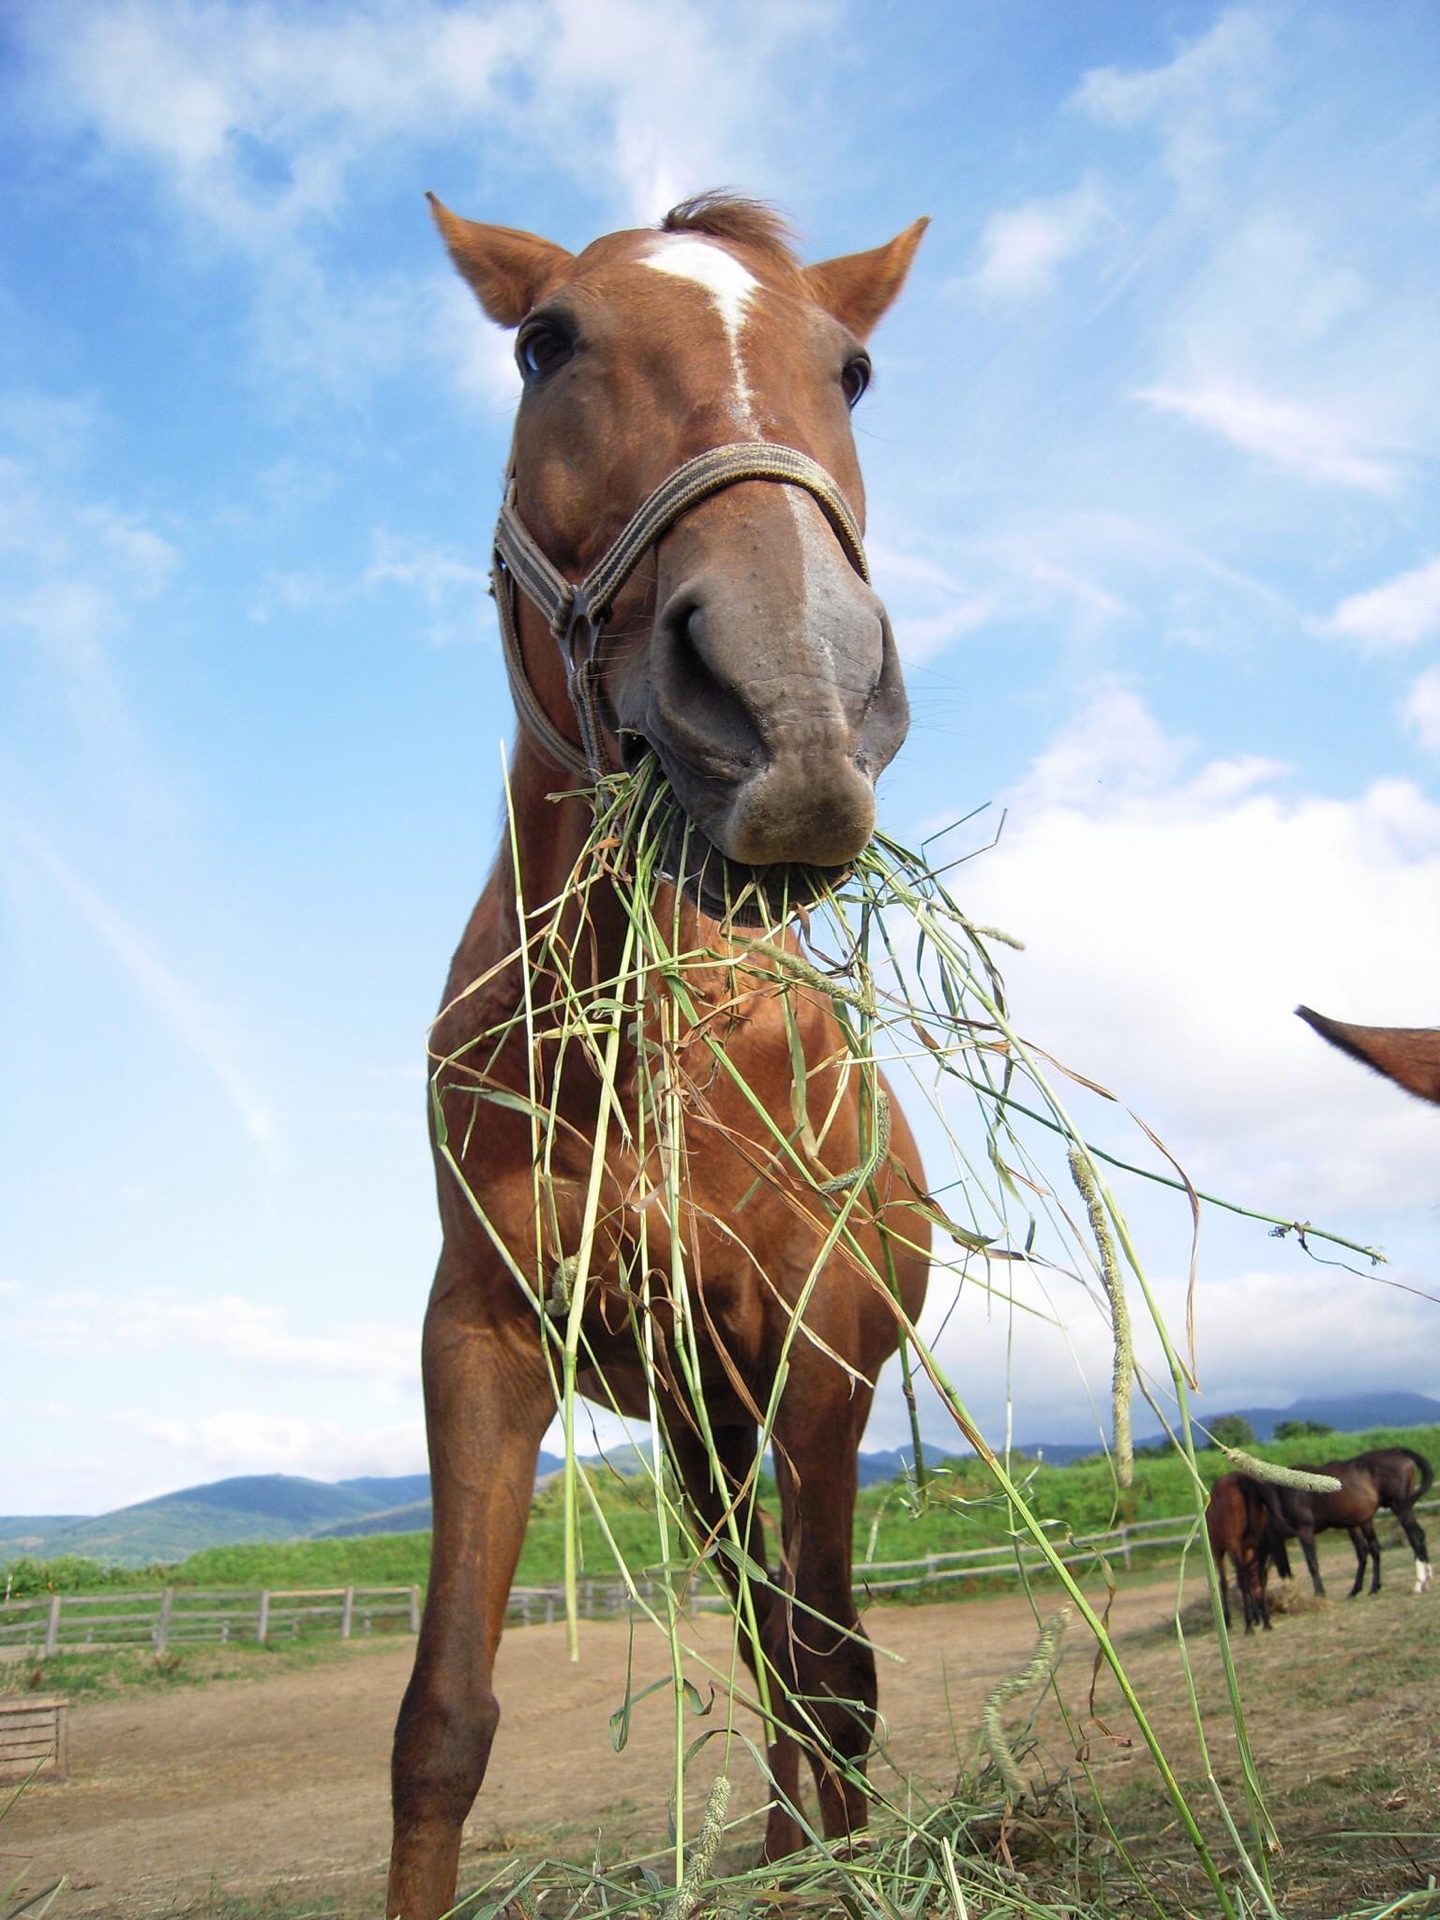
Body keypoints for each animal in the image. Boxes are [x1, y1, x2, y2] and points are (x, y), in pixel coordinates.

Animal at [389, 198, 936, 1920]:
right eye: (543, 343)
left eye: (855, 368)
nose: (795, 700)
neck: (640, 1040)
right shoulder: (484, 1338)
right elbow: (442, 1721)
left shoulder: (819, 1345)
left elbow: (838, 1667)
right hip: (701, 1432)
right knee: (767, 1640)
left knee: (816, 1653)